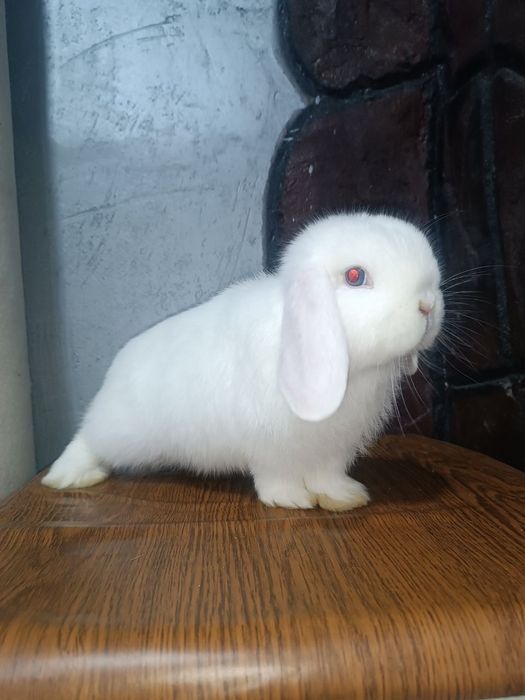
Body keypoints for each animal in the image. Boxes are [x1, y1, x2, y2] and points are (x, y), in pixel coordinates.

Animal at [42, 213, 444, 511]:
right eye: (355, 276)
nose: (428, 305)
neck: (354, 369)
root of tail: (117, 368)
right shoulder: (269, 445)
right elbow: (276, 477)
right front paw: (291, 500)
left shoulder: (332, 448)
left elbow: (327, 476)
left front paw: (344, 497)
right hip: (122, 430)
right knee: (87, 439)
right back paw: (69, 476)